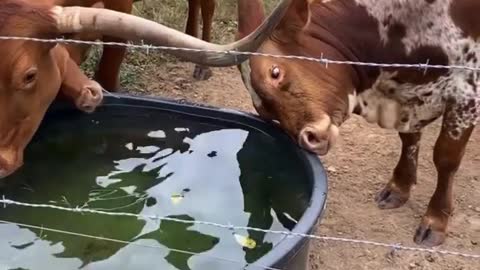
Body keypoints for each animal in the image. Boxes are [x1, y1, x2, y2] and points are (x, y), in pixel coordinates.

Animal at [231, 0, 478, 247]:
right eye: (264, 110)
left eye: (275, 72)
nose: (308, 138)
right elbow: (408, 139)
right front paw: (399, 188)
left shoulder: (467, 87)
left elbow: (446, 158)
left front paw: (436, 219)